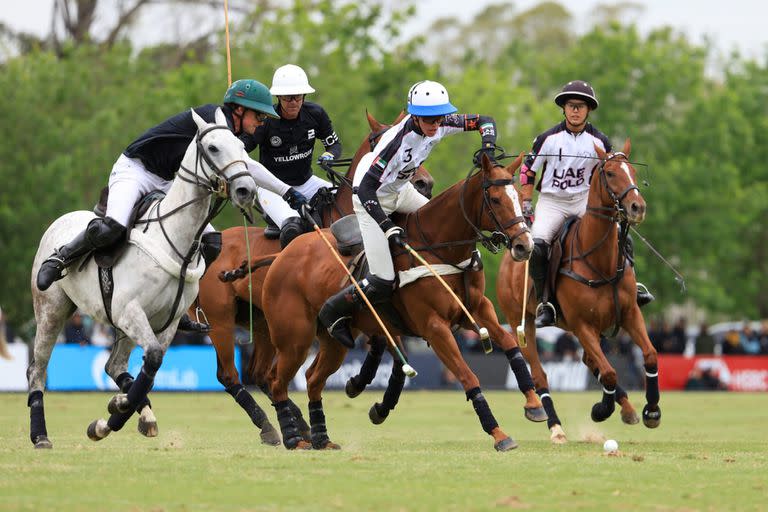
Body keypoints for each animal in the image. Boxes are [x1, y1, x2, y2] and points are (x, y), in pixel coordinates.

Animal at [27, 108, 258, 448]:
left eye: (243, 148)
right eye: (213, 148)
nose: (246, 191)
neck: (176, 240)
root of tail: (61, 219)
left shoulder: (166, 322)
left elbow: (152, 365)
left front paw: (117, 411)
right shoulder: (130, 311)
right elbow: (153, 360)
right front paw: (118, 410)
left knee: (114, 365)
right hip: (51, 310)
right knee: (37, 370)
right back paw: (40, 435)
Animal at [191, 111, 432, 444]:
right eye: (383, 144)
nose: (424, 183)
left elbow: (391, 348)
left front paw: (371, 392)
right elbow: (386, 344)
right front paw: (360, 382)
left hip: (262, 321)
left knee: (262, 373)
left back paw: (301, 425)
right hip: (221, 319)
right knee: (230, 375)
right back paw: (271, 427)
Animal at [264, 153, 544, 452]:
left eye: (518, 197)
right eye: (495, 199)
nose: (524, 246)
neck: (442, 249)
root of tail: (283, 254)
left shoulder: (477, 308)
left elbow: (511, 344)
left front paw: (533, 403)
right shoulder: (434, 327)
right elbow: (468, 376)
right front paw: (499, 434)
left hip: (334, 342)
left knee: (312, 379)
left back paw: (321, 438)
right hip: (294, 339)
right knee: (277, 381)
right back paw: (293, 438)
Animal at [498, 140, 660, 444]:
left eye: (632, 171)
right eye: (610, 173)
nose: (637, 207)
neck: (600, 260)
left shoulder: (630, 313)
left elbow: (650, 355)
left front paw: (651, 411)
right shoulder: (582, 323)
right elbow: (608, 371)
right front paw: (601, 409)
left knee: (588, 359)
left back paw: (628, 409)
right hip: (521, 322)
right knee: (540, 375)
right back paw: (556, 427)